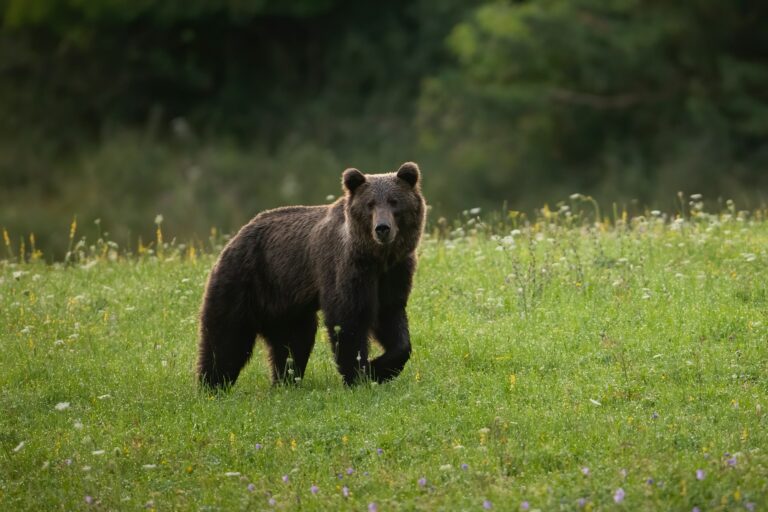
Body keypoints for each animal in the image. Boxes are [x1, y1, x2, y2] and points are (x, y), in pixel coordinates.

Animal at [196, 162, 426, 386]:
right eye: (370, 204)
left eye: (394, 202)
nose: (382, 228)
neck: (376, 258)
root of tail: (235, 238)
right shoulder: (345, 267)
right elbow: (347, 318)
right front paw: (360, 374)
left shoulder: (394, 271)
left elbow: (391, 315)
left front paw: (378, 368)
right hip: (243, 282)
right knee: (226, 339)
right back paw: (212, 384)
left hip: (286, 304)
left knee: (292, 342)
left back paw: (285, 381)